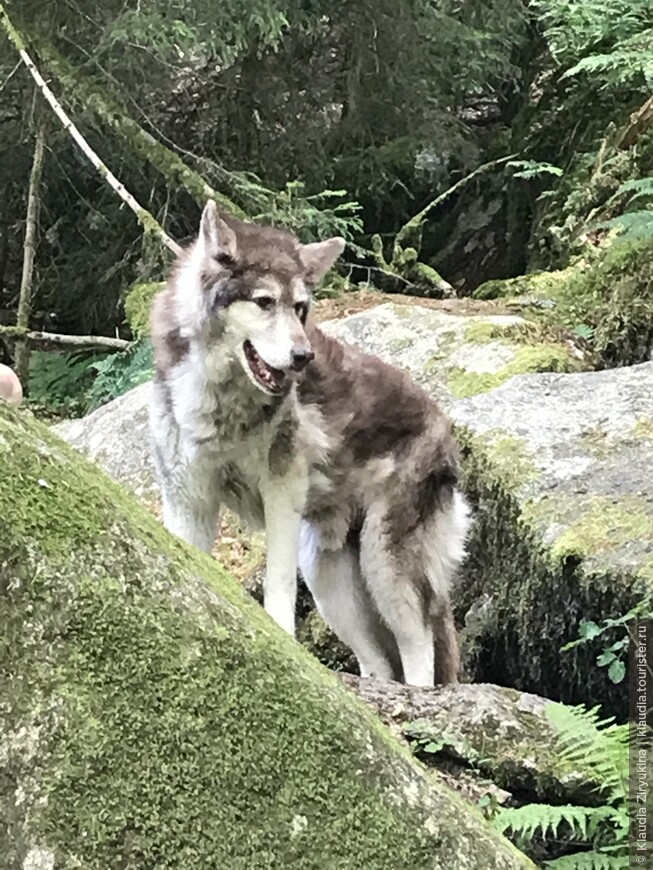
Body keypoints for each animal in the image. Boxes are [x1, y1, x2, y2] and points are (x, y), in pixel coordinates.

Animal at [149, 203, 468, 688]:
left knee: (420, 647)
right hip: (327, 576)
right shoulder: (189, 500)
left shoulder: (281, 494)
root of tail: (446, 428)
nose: (303, 358)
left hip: (383, 566)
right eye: (265, 302)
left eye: (299, 308)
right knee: (379, 664)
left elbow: (276, 586)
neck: (221, 398)